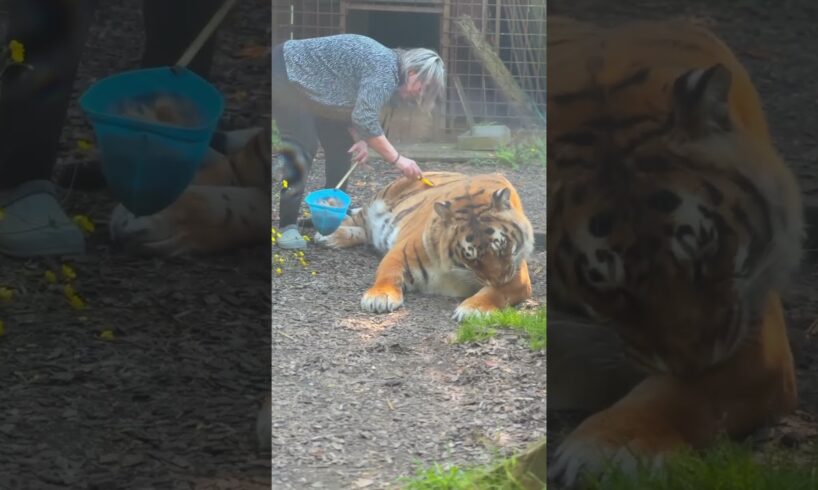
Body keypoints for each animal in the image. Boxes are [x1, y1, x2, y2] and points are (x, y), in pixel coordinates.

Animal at [310, 172, 532, 322]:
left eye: (502, 248)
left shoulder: (517, 275)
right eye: (471, 257)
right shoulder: (401, 252)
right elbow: (388, 273)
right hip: (377, 201)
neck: (456, 270)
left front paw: (473, 309)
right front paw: (379, 297)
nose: (499, 279)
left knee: (364, 232)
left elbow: (495, 292)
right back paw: (327, 230)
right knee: (353, 218)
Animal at [540, 14, 804, 486]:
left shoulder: (755, 334)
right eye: (608, 289)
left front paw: (613, 449)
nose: (694, 363)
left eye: (706, 254)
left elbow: (684, 395)